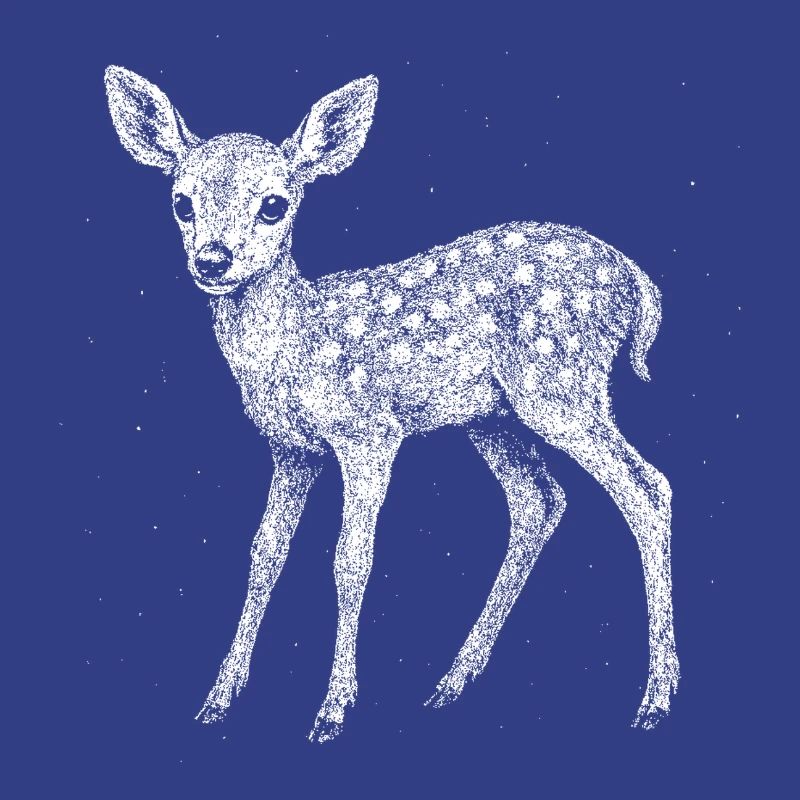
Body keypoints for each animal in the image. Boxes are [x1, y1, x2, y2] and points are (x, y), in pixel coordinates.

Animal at [104, 65, 679, 742]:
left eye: (274, 204)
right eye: (181, 202)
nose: (213, 260)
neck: (296, 344)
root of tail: (639, 285)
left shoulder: (369, 434)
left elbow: (350, 560)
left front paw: (333, 708)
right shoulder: (291, 450)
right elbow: (264, 553)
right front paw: (219, 697)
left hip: (561, 384)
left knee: (646, 487)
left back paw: (656, 698)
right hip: (494, 416)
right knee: (540, 501)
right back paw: (453, 681)